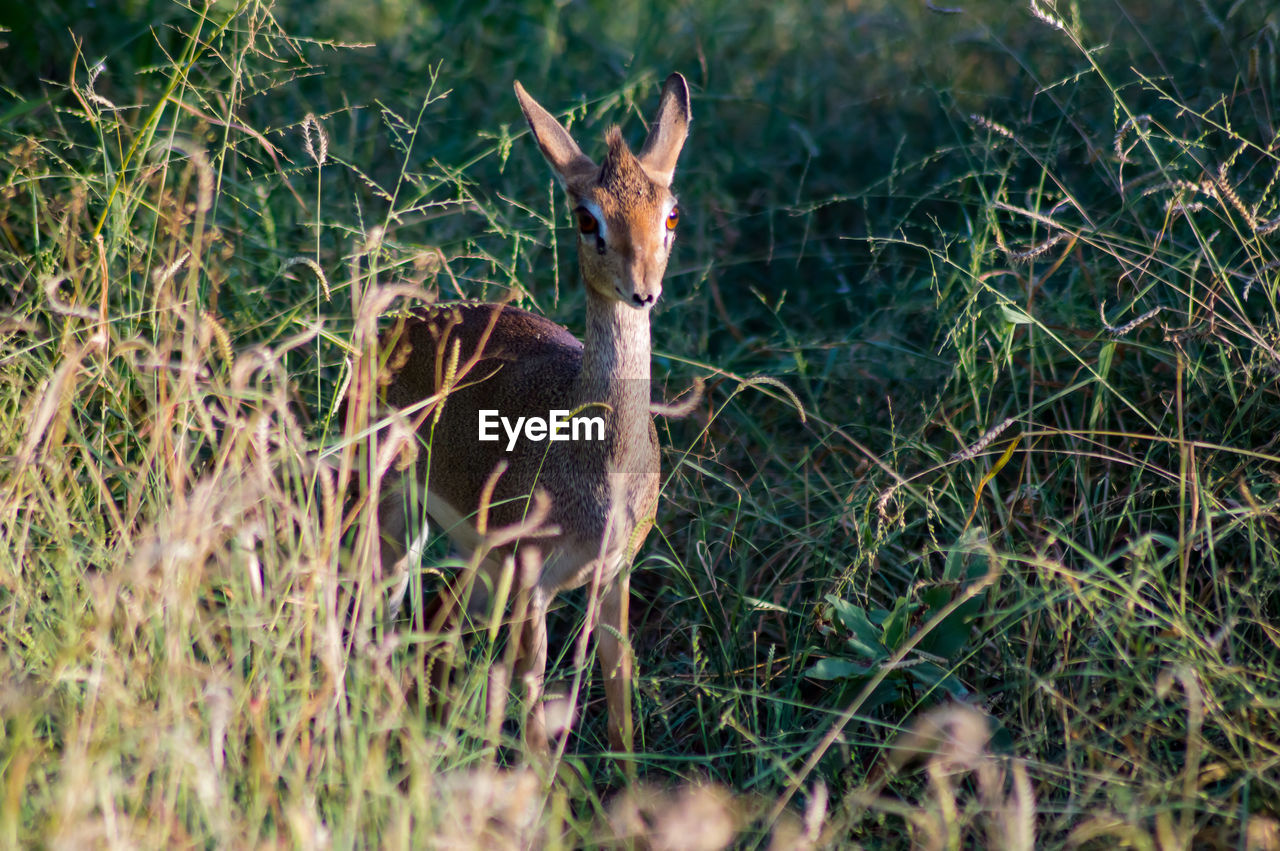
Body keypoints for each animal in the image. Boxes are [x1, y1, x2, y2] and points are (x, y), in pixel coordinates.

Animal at [360, 72, 691, 752]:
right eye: (586, 216)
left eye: (670, 211)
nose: (643, 289)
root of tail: (407, 323)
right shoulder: (533, 585)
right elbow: (535, 707)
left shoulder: (614, 573)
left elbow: (619, 687)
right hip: (399, 515)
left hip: (477, 563)